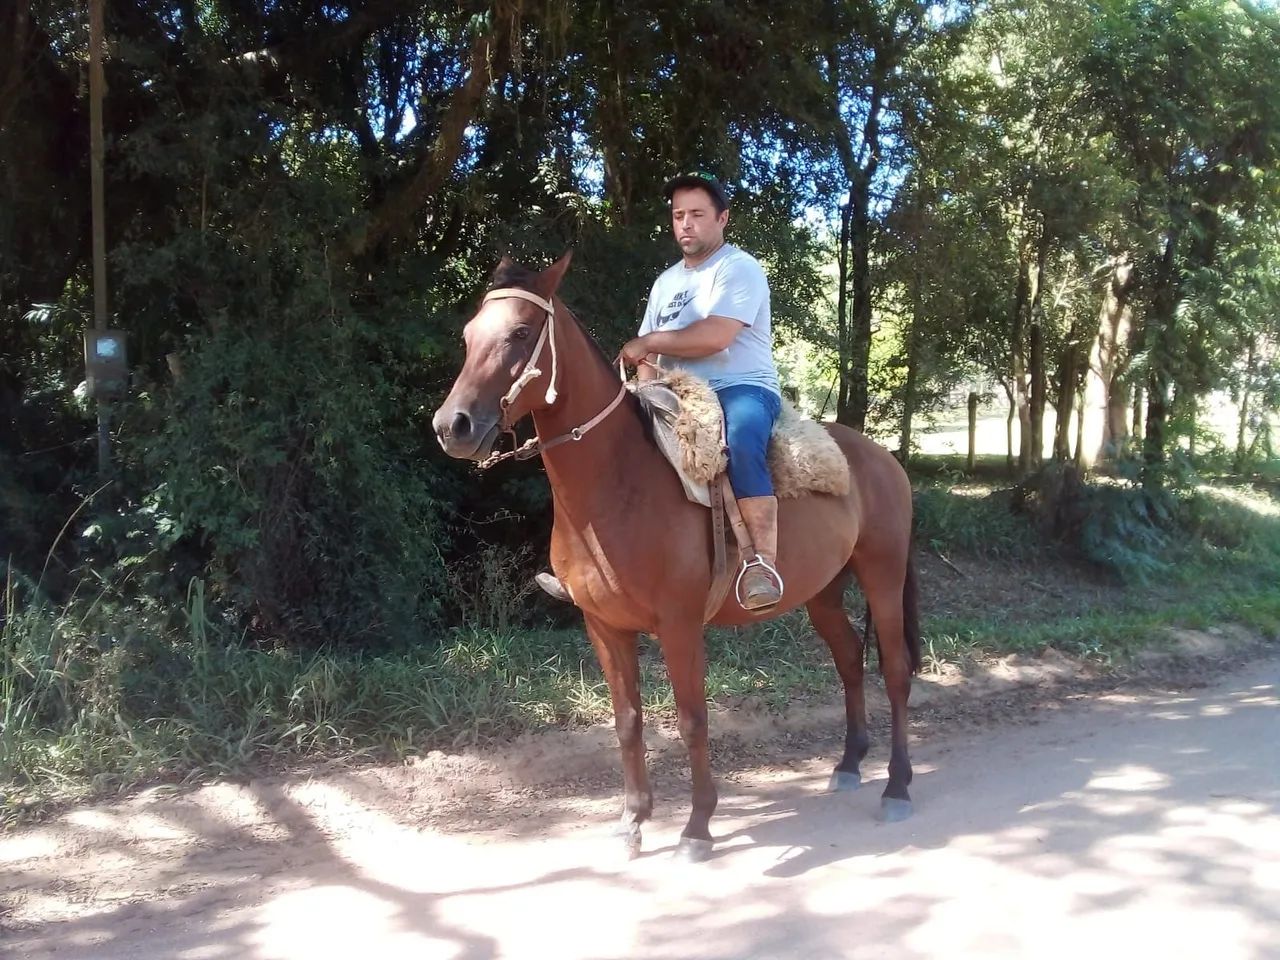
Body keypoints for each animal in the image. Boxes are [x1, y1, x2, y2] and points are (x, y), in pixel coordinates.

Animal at [432, 252, 920, 862]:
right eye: (469, 334)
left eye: (521, 333)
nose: (452, 426)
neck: (618, 484)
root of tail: (882, 458)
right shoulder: (604, 626)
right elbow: (627, 721)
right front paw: (632, 822)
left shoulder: (680, 624)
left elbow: (691, 719)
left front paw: (697, 827)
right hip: (823, 593)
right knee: (850, 660)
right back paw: (850, 763)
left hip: (883, 575)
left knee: (895, 671)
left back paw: (897, 787)